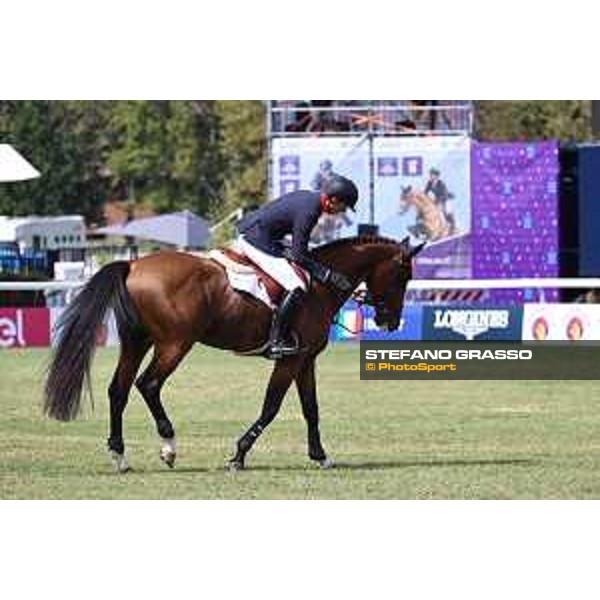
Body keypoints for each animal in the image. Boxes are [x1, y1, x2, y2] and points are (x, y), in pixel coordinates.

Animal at [44, 234, 422, 474]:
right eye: (403, 275)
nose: (390, 321)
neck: (321, 285)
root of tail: (134, 266)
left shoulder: (305, 361)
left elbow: (311, 409)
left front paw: (320, 456)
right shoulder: (290, 359)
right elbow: (271, 407)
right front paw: (239, 455)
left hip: (138, 341)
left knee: (118, 390)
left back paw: (120, 456)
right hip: (175, 344)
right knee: (148, 384)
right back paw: (169, 446)